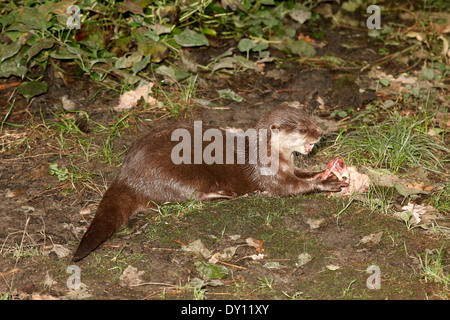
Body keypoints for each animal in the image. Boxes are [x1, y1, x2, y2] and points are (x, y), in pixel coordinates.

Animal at [73, 106, 348, 262]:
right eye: (303, 129)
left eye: (311, 120)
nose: (320, 133)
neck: (267, 154)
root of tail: (126, 175)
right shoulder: (267, 174)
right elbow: (290, 189)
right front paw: (327, 183)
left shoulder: (288, 167)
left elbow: (304, 175)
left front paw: (326, 172)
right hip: (176, 173)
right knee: (188, 196)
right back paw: (223, 194)